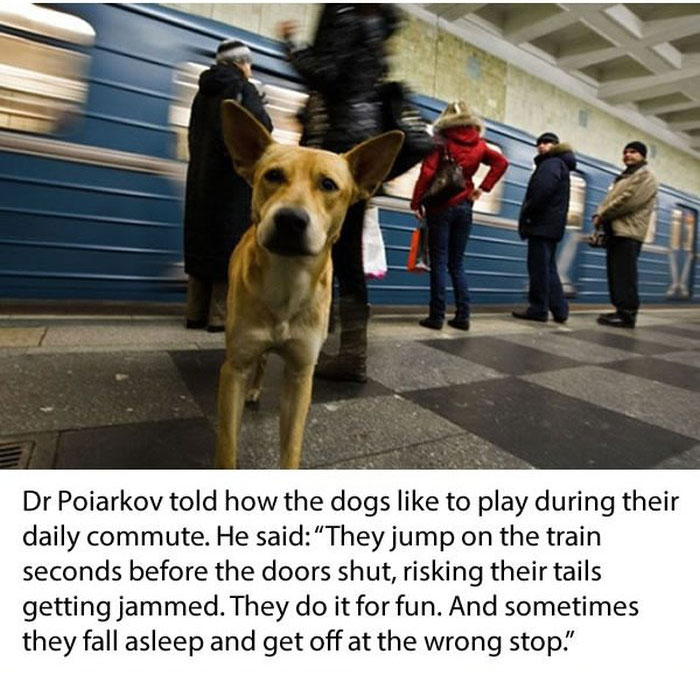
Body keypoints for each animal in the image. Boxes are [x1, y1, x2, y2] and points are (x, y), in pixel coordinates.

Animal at [213, 100, 402, 468]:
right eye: (273, 175)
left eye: (328, 185)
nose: (290, 219)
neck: (287, 283)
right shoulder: (234, 368)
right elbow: (227, 444)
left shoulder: (301, 374)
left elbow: (291, 446)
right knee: (259, 363)